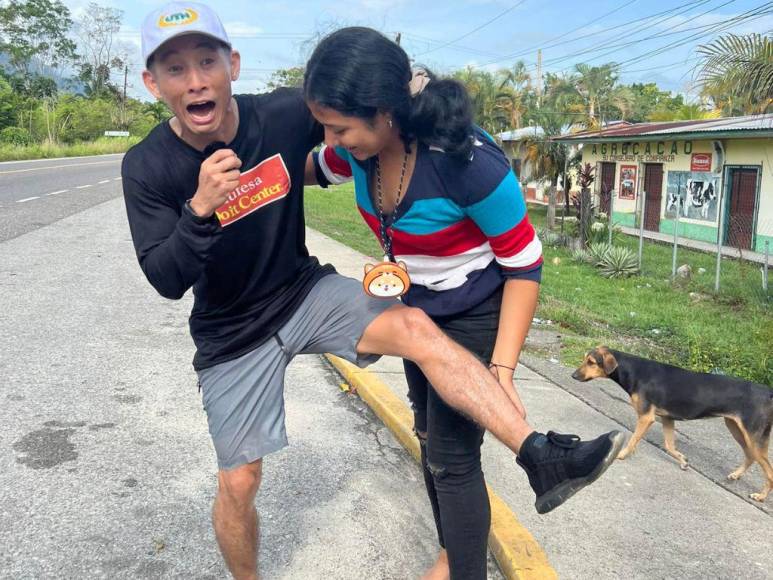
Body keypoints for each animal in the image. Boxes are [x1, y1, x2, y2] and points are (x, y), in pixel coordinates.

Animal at [568, 346, 768, 500]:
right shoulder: (667, 419)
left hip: (753, 436)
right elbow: (669, 446)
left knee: (769, 471)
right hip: (736, 429)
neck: (632, 370)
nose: (573, 375)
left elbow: (633, 440)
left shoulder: (646, 417)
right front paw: (683, 461)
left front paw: (622, 455)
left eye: (591, 362)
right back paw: (736, 475)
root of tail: (768, 392)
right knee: (750, 456)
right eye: (585, 359)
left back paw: (761, 496)